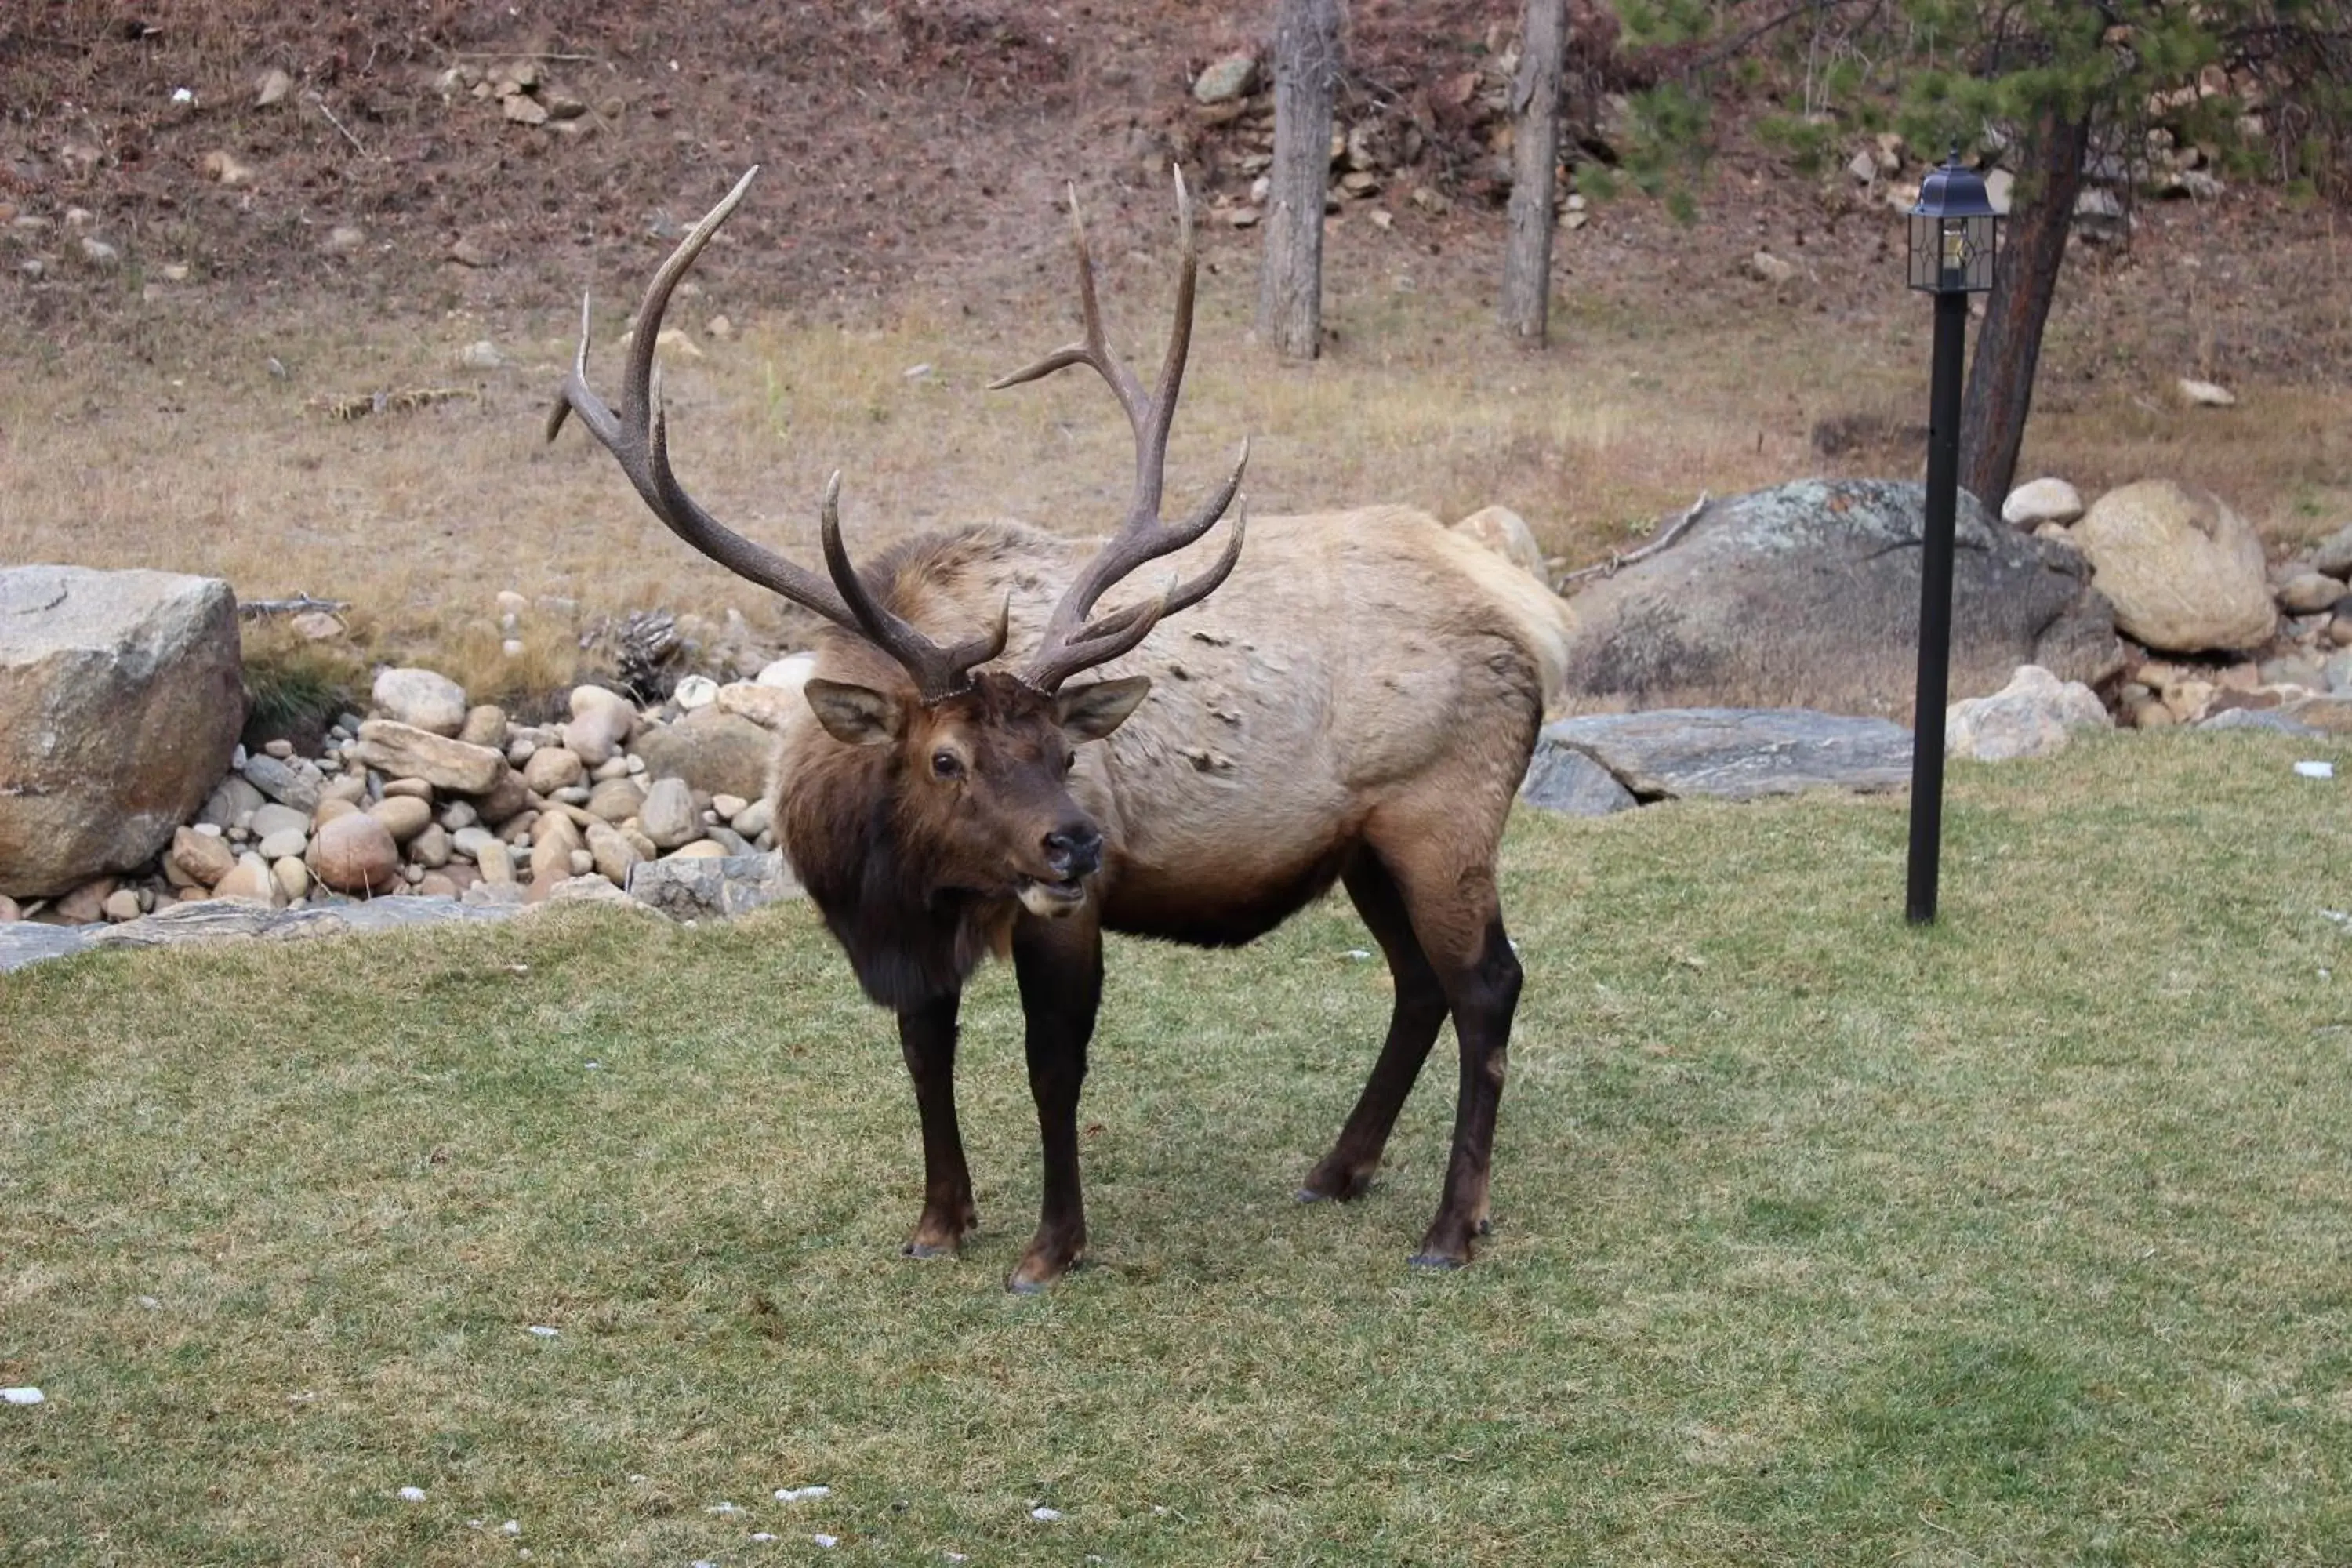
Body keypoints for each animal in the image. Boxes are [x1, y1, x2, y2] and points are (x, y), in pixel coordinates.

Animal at [550, 165, 1571, 1298]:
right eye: (945, 758)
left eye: (1062, 753)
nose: (1078, 839)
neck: (871, 879)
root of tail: (1539, 615)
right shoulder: (914, 938)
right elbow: (925, 1054)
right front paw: (939, 1221)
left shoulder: (1059, 913)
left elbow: (1053, 1067)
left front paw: (1050, 1245)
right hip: (1364, 845)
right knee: (1419, 984)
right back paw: (1336, 1170)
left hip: (1445, 815)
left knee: (1488, 985)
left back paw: (1450, 1226)